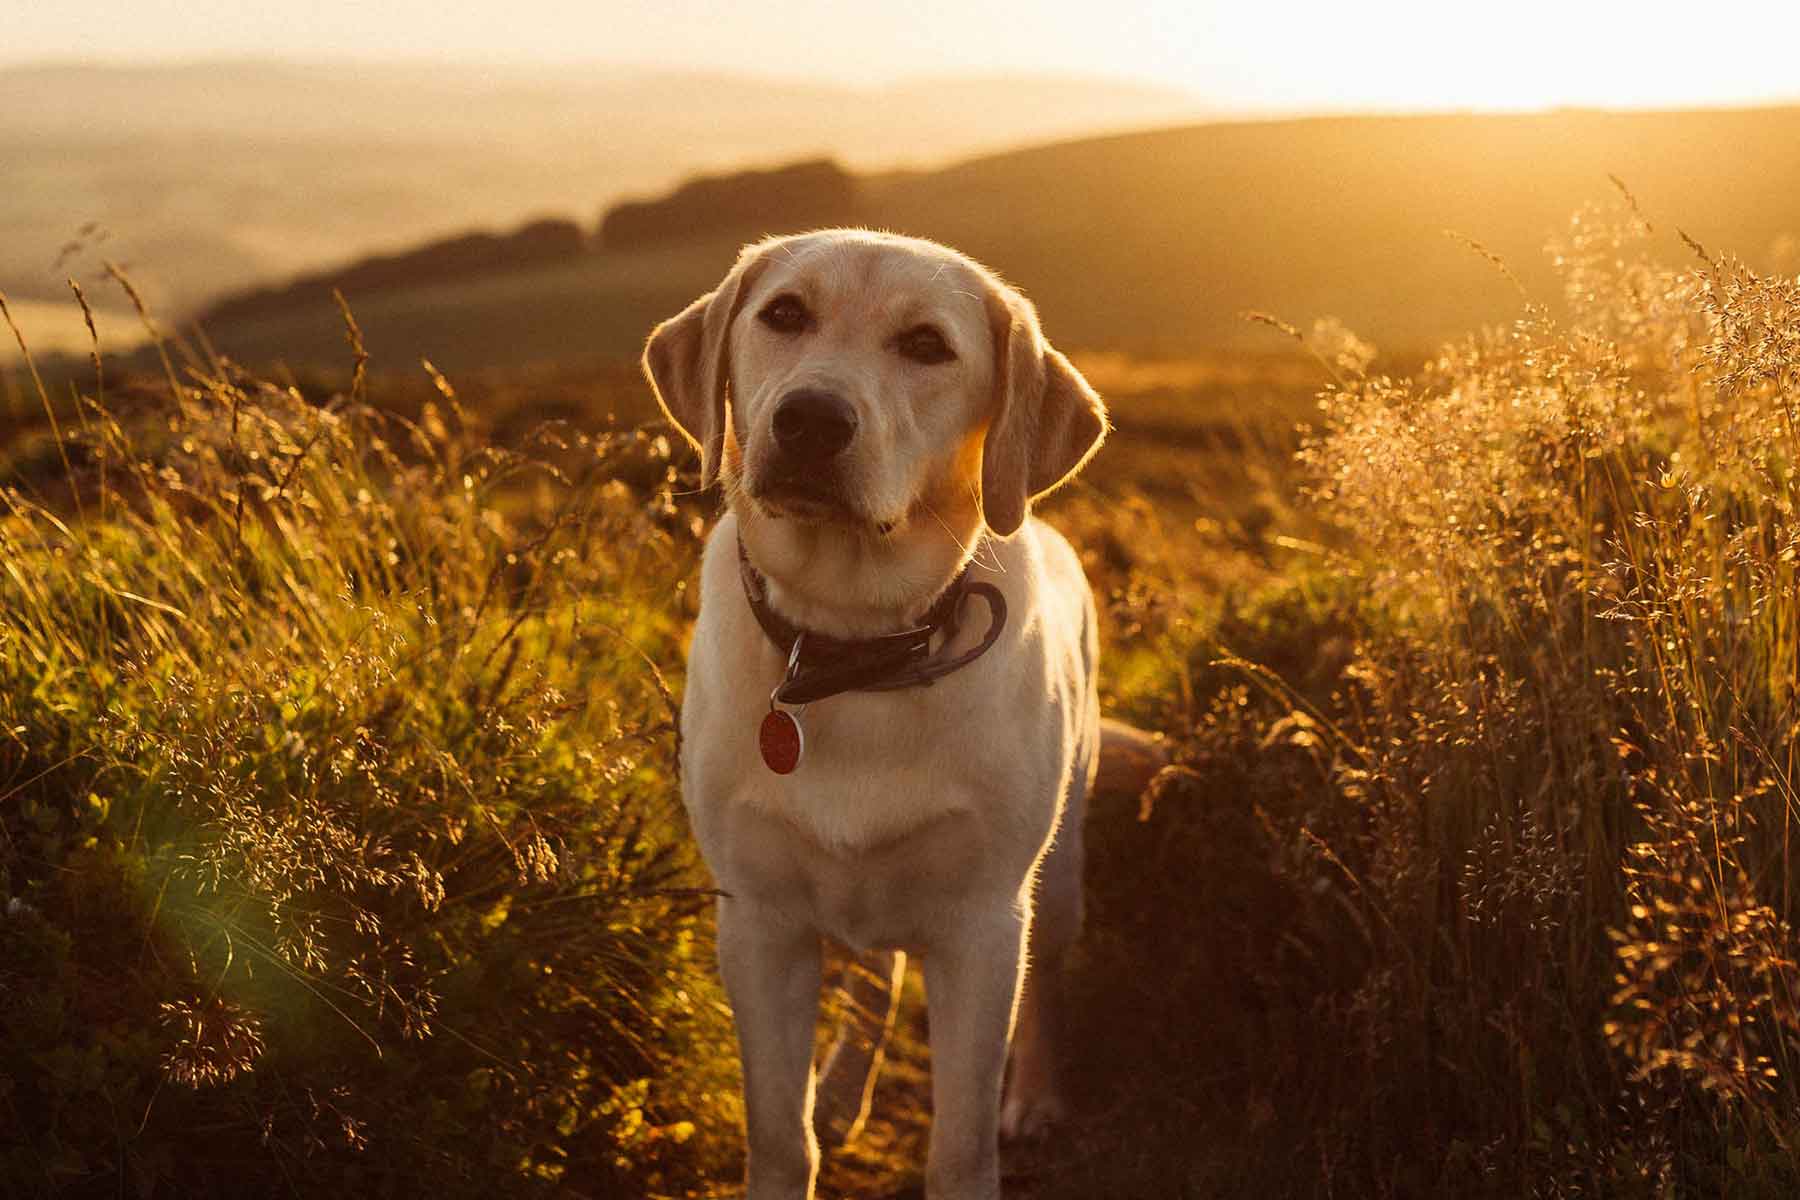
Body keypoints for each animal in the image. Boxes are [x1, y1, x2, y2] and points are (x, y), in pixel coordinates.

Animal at [640, 227, 1101, 1200]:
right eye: (784, 314)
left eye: (927, 345)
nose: (811, 420)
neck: (850, 645)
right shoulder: (759, 921)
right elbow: (781, 1136)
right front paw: (813, 1123)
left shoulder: (981, 927)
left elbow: (961, 1148)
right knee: (877, 977)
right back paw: (848, 1085)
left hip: (1059, 873)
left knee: (1047, 985)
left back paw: (1036, 1097)